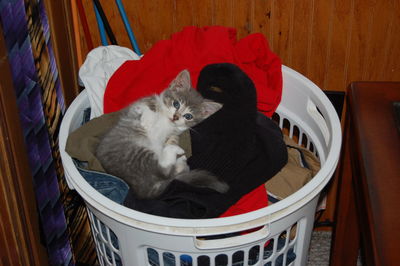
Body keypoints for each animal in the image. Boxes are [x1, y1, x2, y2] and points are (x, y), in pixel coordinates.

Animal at [95, 69, 230, 198]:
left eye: (188, 116)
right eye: (176, 104)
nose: (175, 117)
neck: (166, 119)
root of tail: (143, 188)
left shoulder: (174, 133)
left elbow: (172, 138)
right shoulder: (136, 106)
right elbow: (144, 106)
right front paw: (147, 119)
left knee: (165, 169)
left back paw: (179, 159)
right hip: (132, 152)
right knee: (163, 169)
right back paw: (178, 154)